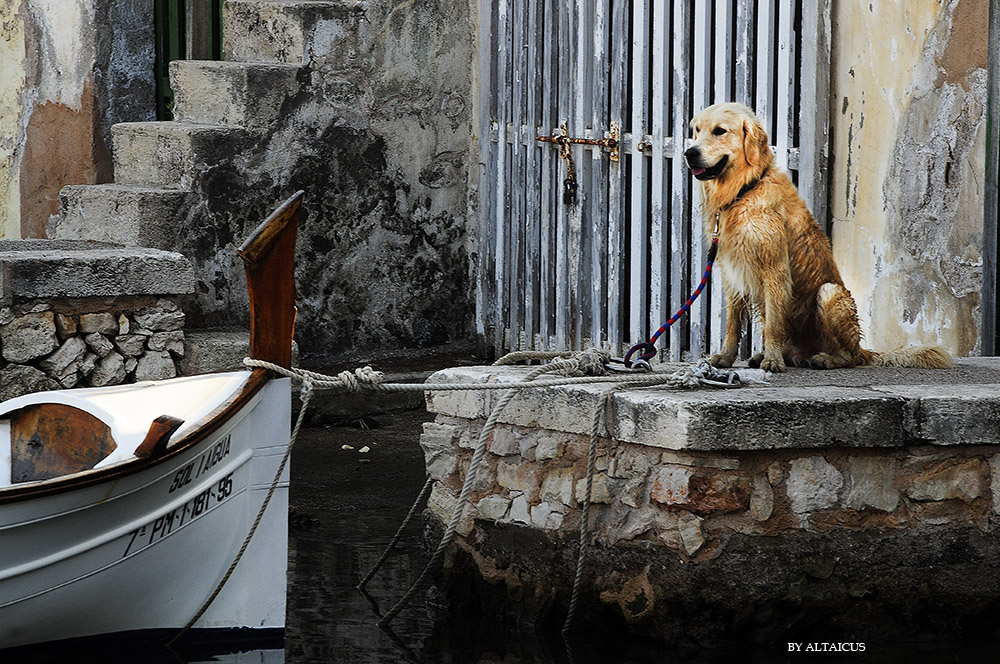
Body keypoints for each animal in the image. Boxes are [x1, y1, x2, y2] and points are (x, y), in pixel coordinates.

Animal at [684, 104, 948, 374]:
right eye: (697, 130)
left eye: (719, 131)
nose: (689, 153)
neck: (746, 189)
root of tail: (863, 350)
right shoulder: (732, 272)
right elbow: (733, 322)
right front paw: (726, 357)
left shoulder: (775, 268)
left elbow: (773, 325)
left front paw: (772, 360)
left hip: (831, 294)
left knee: (849, 356)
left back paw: (823, 359)